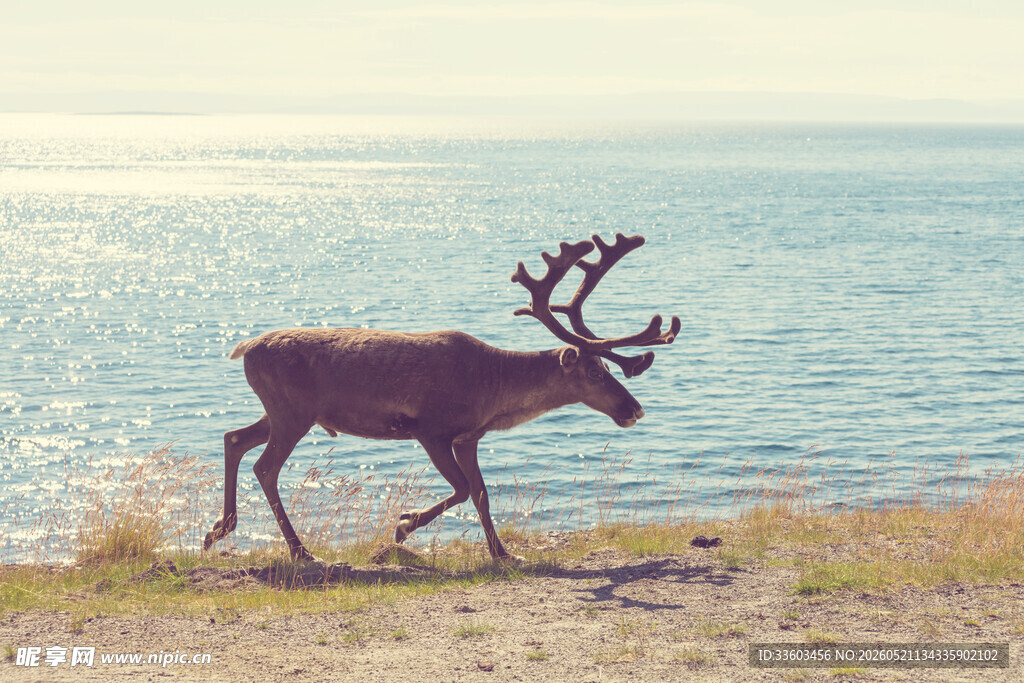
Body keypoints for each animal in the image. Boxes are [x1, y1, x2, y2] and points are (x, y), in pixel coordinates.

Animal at [203, 233, 680, 562]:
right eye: (595, 372)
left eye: (609, 369)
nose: (634, 409)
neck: (493, 390)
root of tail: (245, 347)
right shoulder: (430, 430)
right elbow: (465, 489)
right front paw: (402, 526)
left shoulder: (469, 438)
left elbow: (482, 493)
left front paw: (503, 553)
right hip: (292, 414)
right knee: (265, 466)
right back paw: (299, 551)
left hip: (281, 412)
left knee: (234, 438)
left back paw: (217, 530)